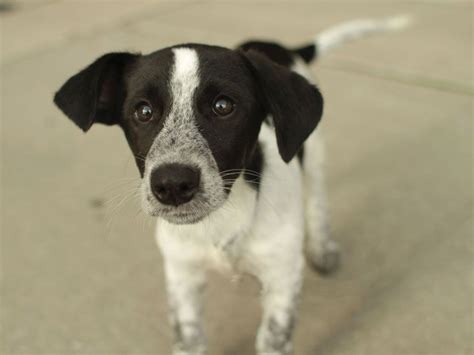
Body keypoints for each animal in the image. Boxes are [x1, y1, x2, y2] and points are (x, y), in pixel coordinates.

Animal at [53, 15, 412, 354]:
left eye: (223, 106)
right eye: (143, 111)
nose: (172, 184)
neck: (223, 216)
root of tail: (277, 46)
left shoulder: (282, 275)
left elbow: (272, 338)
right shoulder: (182, 274)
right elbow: (190, 339)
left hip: (314, 153)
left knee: (317, 200)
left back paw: (322, 249)